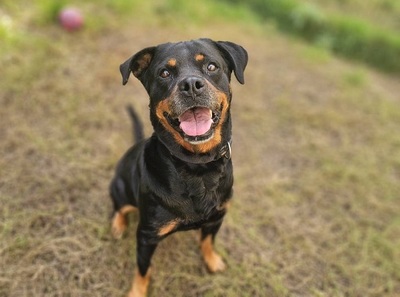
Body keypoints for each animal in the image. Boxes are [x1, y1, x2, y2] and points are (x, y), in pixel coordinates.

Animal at [109, 38, 247, 294]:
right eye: (164, 73)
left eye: (211, 66)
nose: (191, 85)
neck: (198, 167)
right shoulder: (146, 236)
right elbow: (143, 270)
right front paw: (137, 292)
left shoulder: (218, 216)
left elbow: (207, 241)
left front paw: (212, 260)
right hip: (120, 189)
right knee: (120, 208)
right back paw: (118, 225)